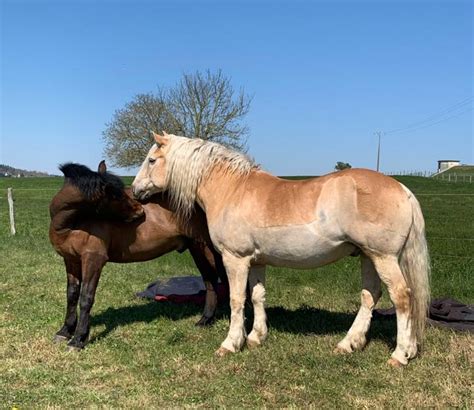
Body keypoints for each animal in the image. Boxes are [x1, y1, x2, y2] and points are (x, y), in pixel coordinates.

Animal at [49, 160, 227, 350]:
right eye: (115, 195)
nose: (140, 210)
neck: (72, 224)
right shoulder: (71, 261)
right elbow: (72, 295)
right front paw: (65, 331)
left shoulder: (93, 260)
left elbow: (86, 297)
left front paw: (78, 339)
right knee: (211, 282)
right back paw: (206, 320)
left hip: (204, 248)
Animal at [131, 133, 432, 366]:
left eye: (151, 160)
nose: (134, 191)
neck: (232, 189)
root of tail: (403, 189)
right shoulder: (256, 261)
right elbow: (257, 296)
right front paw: (256, 337)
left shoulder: (235, 259)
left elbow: (237, 300)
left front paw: (230, 344)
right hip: (368, 256)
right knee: (370, 296)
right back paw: (350, 344)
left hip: (384, 258)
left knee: (402, 298)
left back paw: (400, 355)